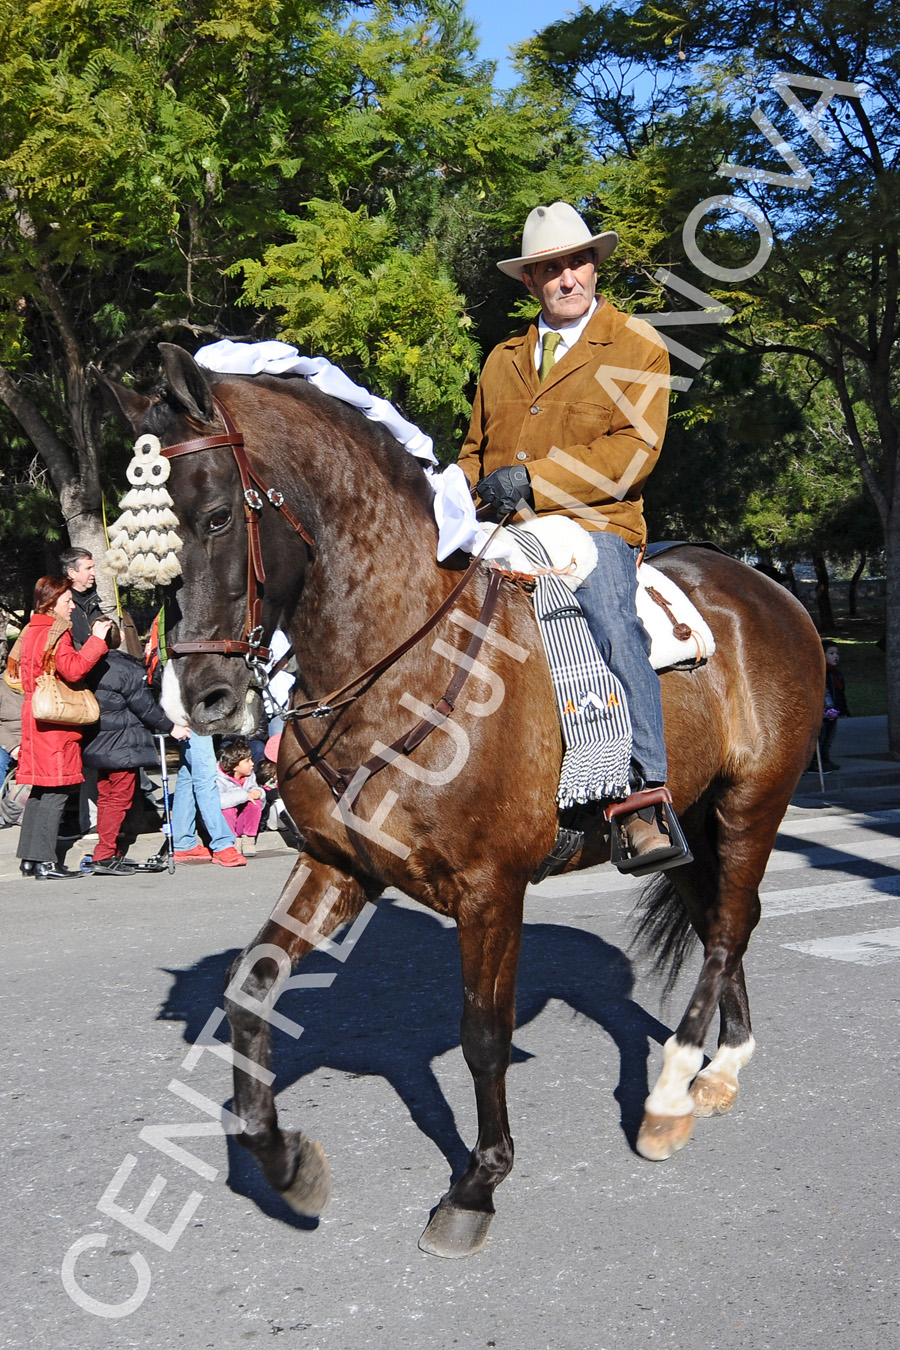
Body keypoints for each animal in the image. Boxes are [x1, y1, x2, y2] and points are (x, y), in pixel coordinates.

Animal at [101, 345, 825, 1252]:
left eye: (218, 518)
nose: (199, 701)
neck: (398, 661)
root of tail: (768, 588)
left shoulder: (490, 889)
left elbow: (483, 1034)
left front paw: (477, 1184)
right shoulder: (338, 866)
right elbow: (249, 986)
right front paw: (287, 1164)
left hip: (752, 804)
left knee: (727, 928)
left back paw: (671, 1095)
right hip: (688, 820)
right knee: (722, 920)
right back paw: (720, 1068)